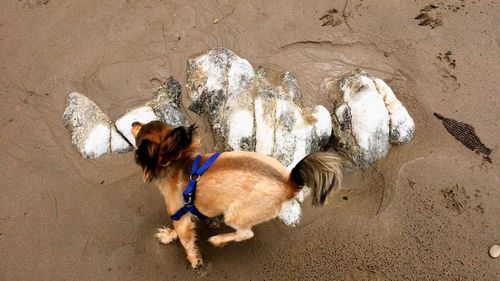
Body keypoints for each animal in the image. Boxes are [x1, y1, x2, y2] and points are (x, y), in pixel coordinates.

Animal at [131, 120, 342, 266]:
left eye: (138, 134)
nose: (133, 123)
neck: (176, 162)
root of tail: (289, 182)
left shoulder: (180, 217)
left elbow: (185, 241)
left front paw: (192, 259)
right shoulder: (186, 212)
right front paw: (169, 235)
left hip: (234, 215)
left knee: (245, 234)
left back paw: (219, 239)